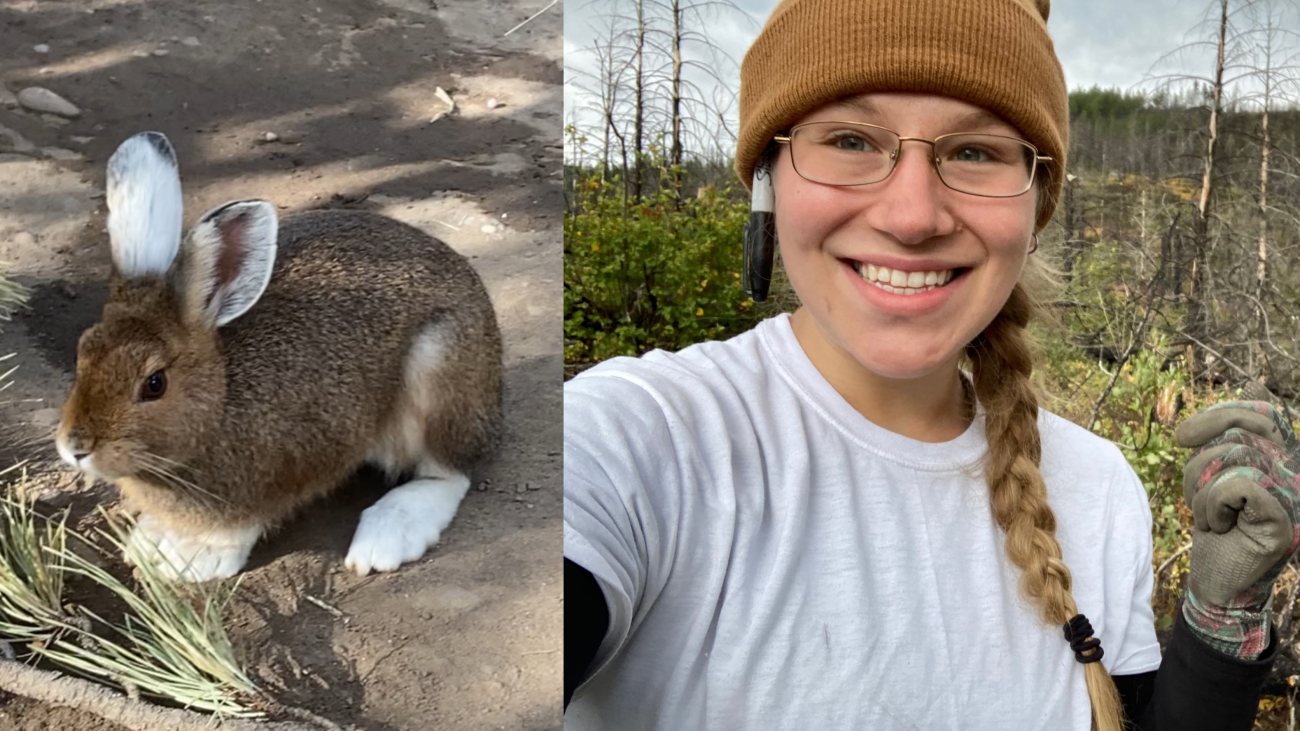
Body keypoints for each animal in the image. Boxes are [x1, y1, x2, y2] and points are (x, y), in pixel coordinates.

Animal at [55, 131, 504, 582]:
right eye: (83, 352)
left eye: (154, 384)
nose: (75, 448)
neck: (220, 399)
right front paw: (153, 543)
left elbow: (246, 522)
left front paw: (192, 560)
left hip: (437, 369)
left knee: (448, 473)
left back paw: (388, 535)